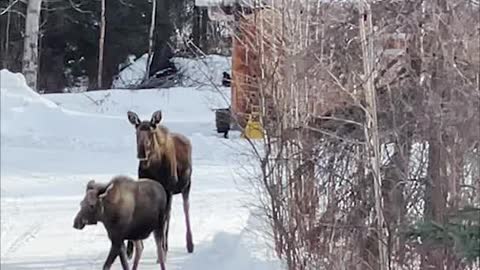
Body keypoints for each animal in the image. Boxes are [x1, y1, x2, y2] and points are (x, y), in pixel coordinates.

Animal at [127, 109, 195, 255]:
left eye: (151, 133)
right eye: (136, 132)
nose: (141, 153)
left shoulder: (168, 188)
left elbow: (164, 218)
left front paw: (162, 247)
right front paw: (130, 249)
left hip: (186, 185)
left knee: (185, 208)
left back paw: (189, 244)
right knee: (169, 214)